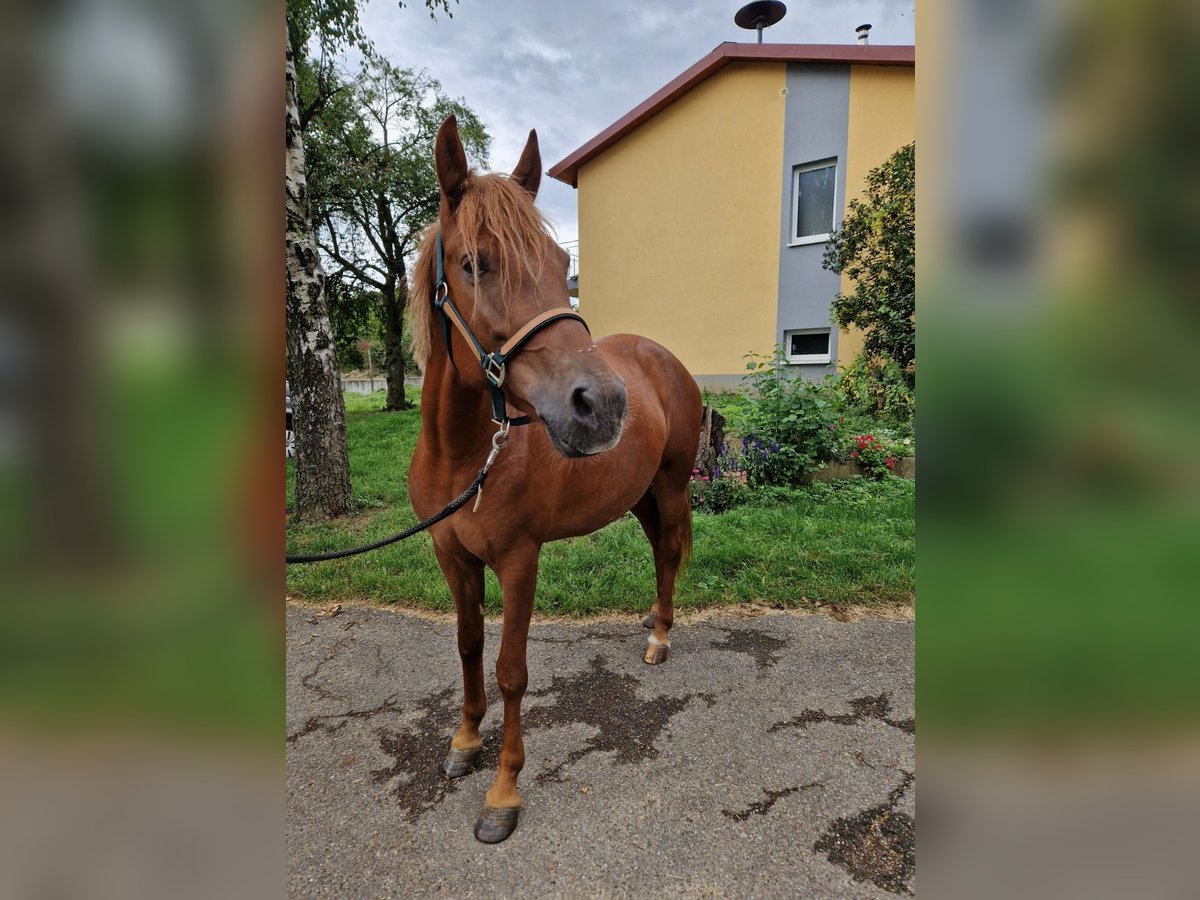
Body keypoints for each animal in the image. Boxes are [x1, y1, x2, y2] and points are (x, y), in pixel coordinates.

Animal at [406, 115, 702, 843]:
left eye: (560, 265)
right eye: (474, 264)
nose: (603, 404)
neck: (465, 457)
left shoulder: (519, 559)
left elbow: (511, 671)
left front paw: (503, 792)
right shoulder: (452, 557)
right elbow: (467, 648)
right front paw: (464, 743)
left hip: (671, 485)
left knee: (671, 550)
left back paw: (660, 637)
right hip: (639, 496)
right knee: (658, 549)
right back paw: (651, 622)